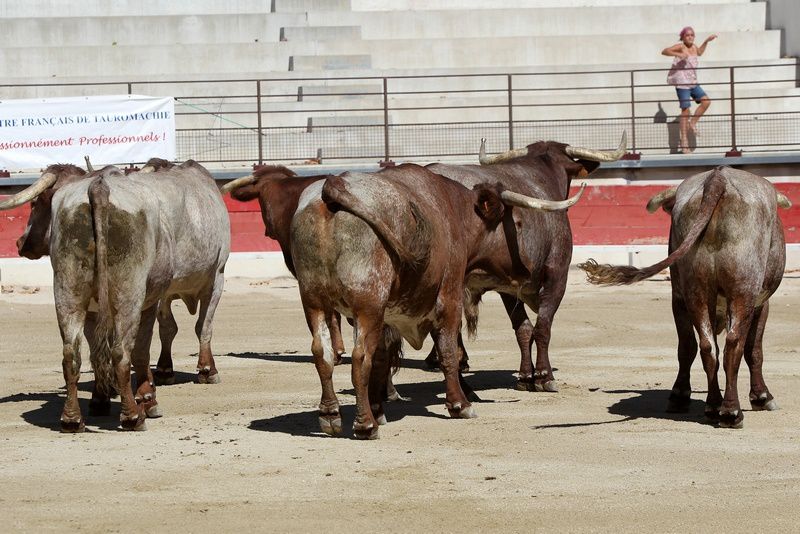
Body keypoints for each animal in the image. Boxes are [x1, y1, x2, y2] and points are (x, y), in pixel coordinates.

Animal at [288, 164, 580, 440]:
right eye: (517, 223)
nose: (527, 271)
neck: (455, 211)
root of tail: (333, 187)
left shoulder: (387, 315)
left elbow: (383, 357)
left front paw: (379, 409)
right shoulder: (449, 297)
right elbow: (448, 352)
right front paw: (460, 405)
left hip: (314, 302)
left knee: (322, 353)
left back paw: (330, 415)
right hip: (367, 305)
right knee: (360, 358)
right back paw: (365, 425)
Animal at [580, 168, 792, 432]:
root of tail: (718, 178)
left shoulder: (678, 298)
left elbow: (688, 347)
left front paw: (680, 395)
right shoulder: (761, 302)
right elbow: (754, 349)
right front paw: (762, 397)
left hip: (693, 291)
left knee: (705, 346)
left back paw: (713, 406)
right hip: (743, 289)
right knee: (733, 344)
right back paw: (731, 412)